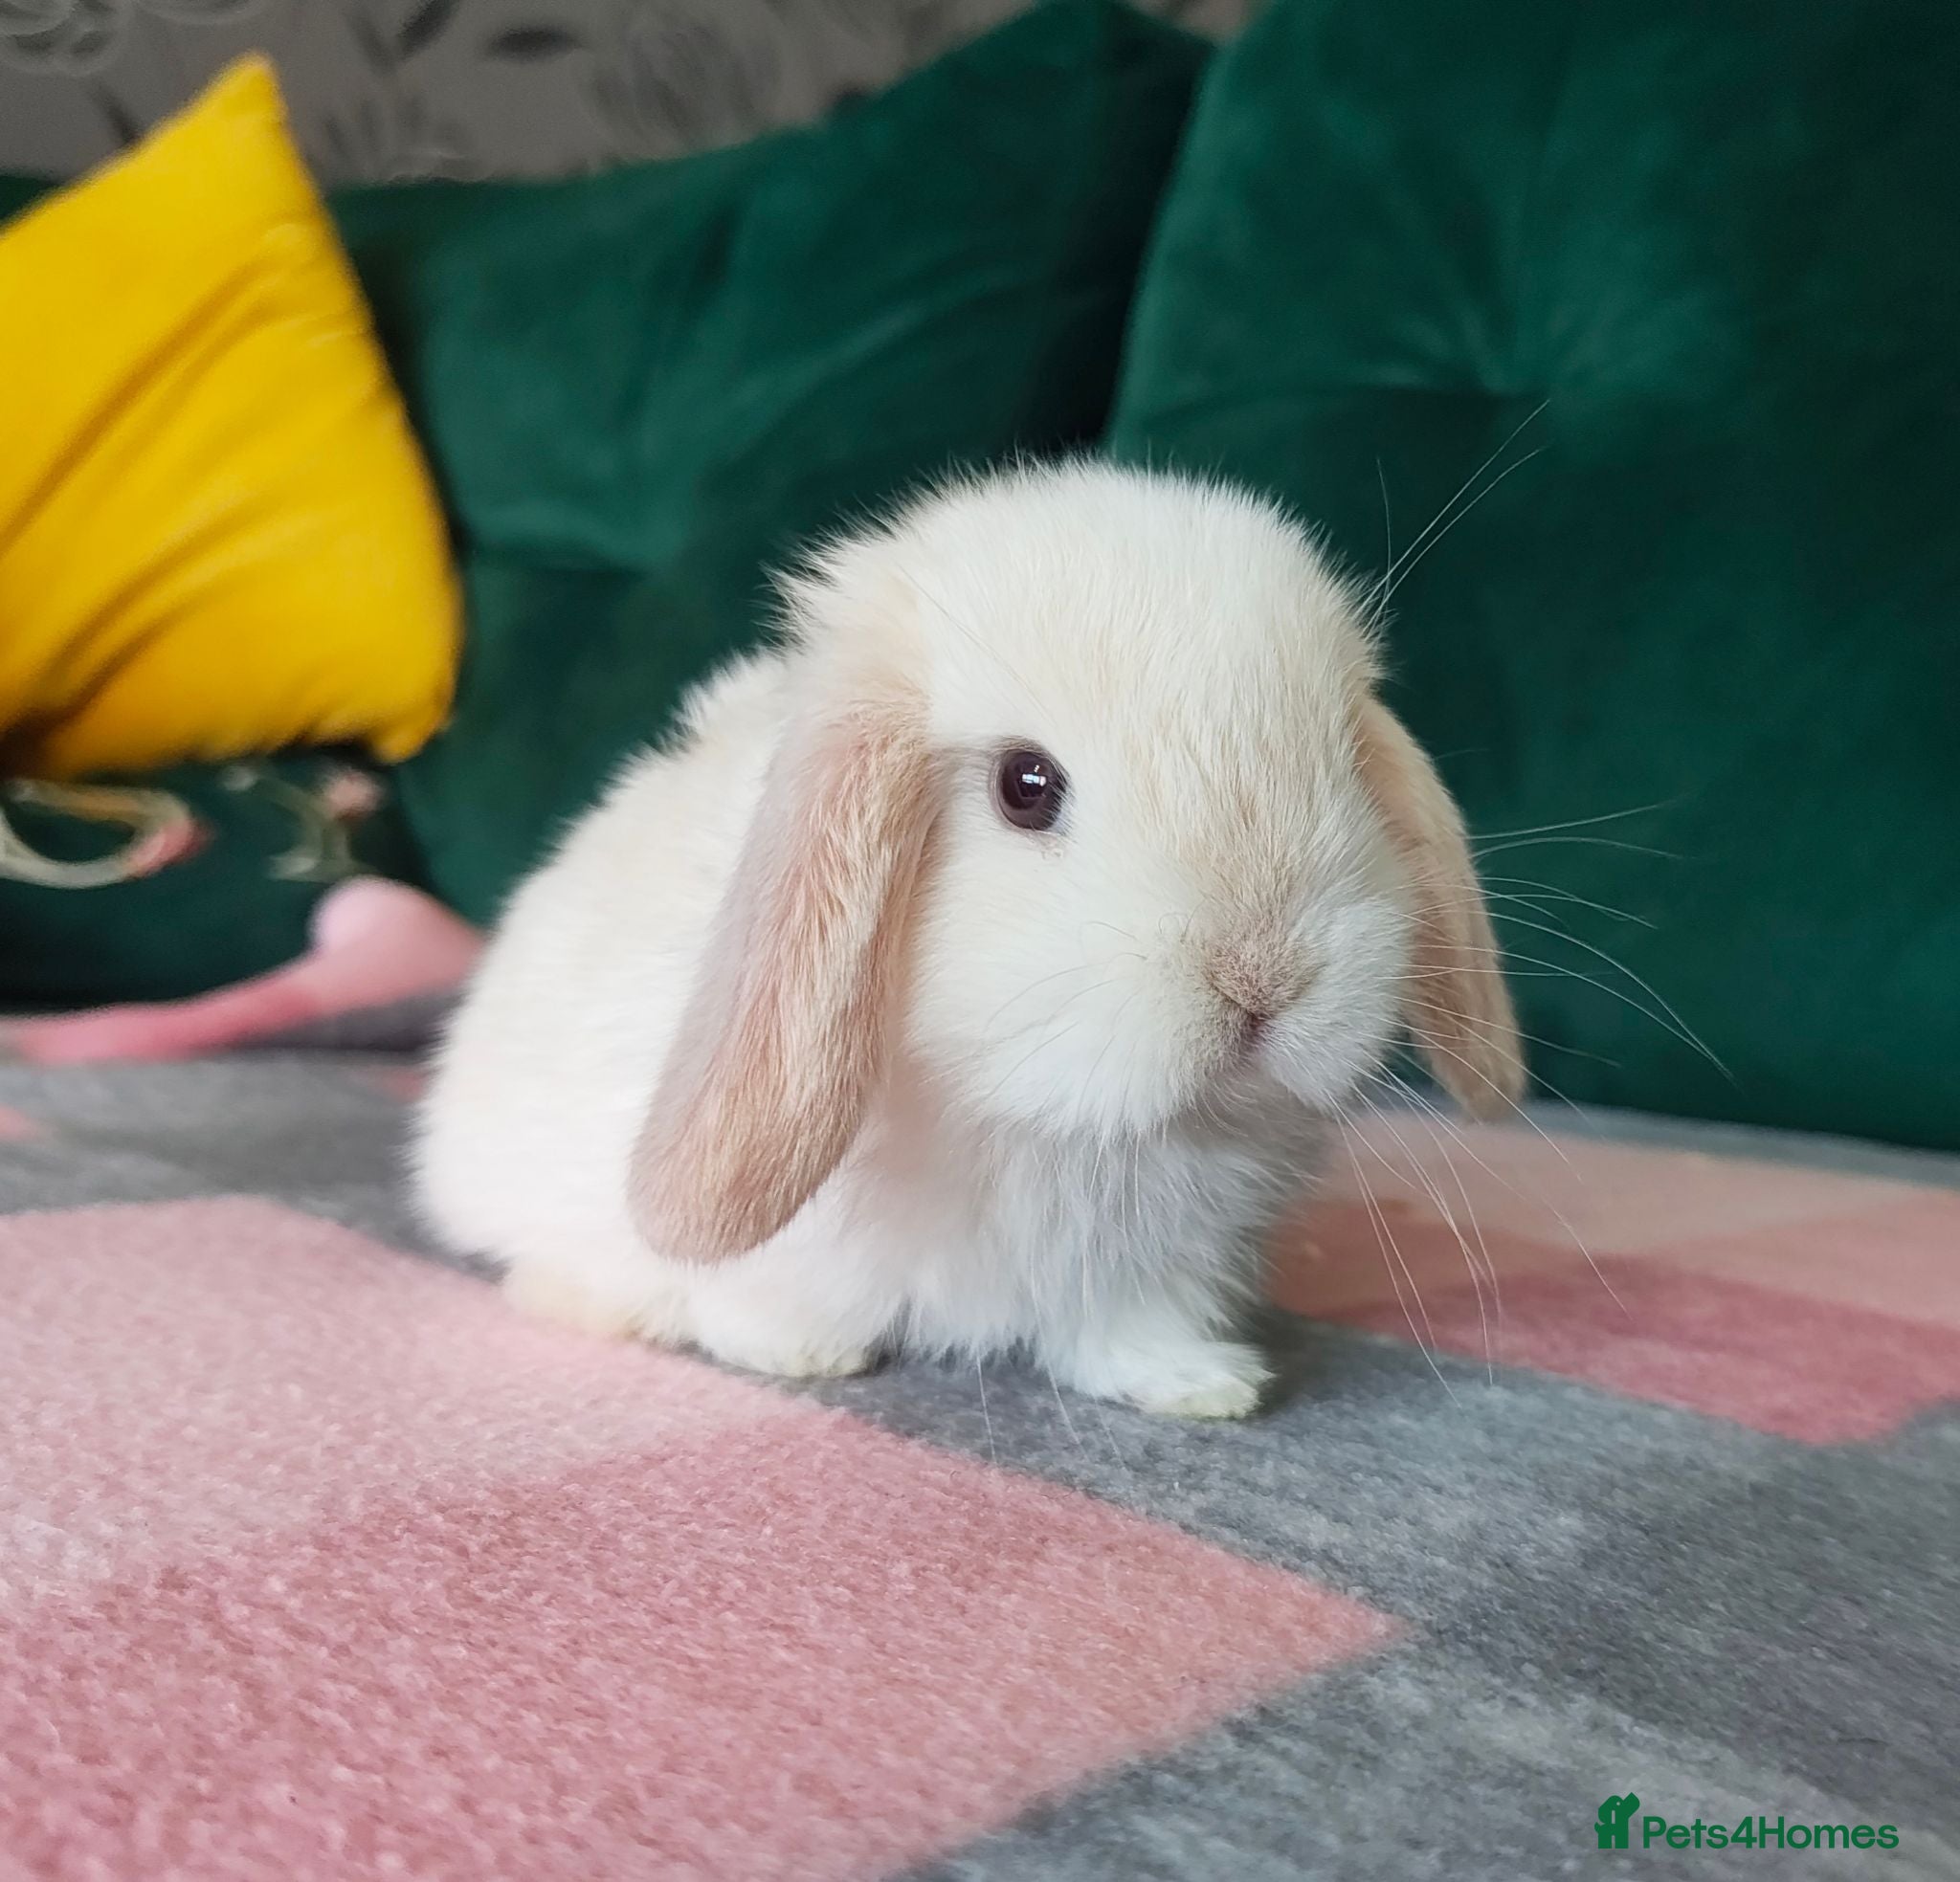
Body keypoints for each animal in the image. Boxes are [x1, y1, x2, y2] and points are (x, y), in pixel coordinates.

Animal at [412, 461, 1522, 1417]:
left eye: (1343, 762)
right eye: (1024, 787)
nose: (1263, 976)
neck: (1048, 1114)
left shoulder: (1150, 1270)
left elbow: (1128, 1333)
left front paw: (1202, 1387)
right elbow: (759, 1300)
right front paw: (800, 1354)